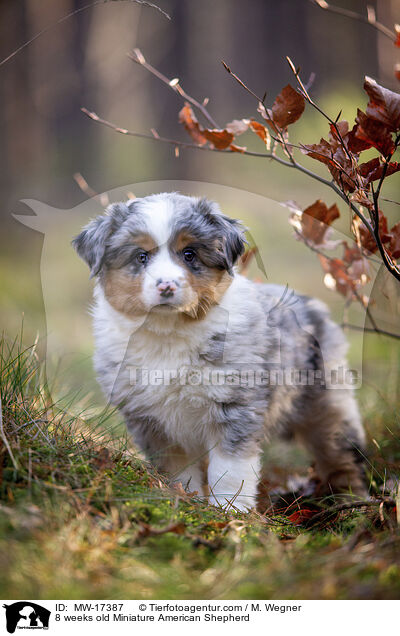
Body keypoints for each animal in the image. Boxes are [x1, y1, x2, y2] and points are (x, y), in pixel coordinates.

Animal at [73, 191, 368, 510]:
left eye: (189, 254)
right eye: (141, 256)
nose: (166, 286)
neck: (168, 334)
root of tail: (309, 303)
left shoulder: (235, 406)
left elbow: (229, 467)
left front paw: (229, 509)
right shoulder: (151, 421)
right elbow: (178, 470)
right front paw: (186, 500)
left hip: (328, 404)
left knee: (342, 453)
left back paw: (352, 501)